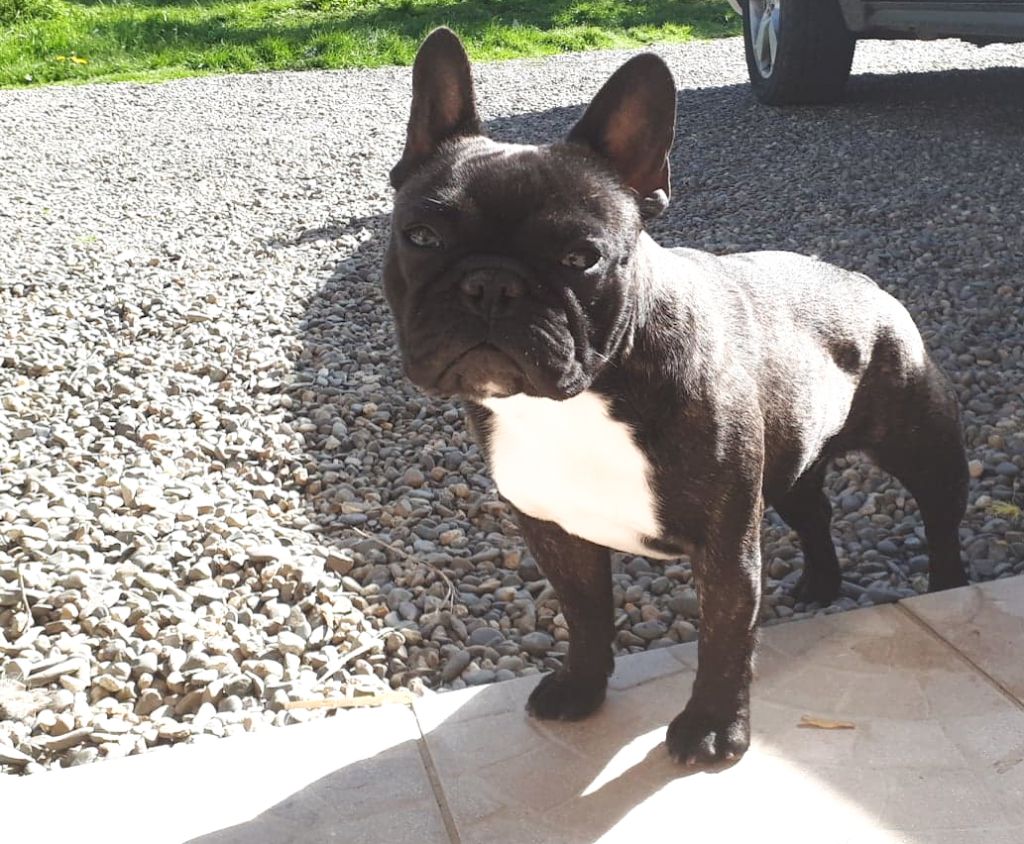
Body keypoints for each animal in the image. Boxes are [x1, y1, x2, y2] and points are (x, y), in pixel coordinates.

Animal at [382, 28, 968, 766]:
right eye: (420, 237)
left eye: (581, 258)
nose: (491, 284)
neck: (578, 398)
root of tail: (862, 282)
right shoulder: (555, 531)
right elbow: (586, 616)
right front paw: (581, 689)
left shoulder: (724, 544)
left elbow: (725, 635)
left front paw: (713, 728)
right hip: (790, 465)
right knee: (815, 513)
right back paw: (821, 584)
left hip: (922, 444)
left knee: (940, 516)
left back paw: (948, 588)